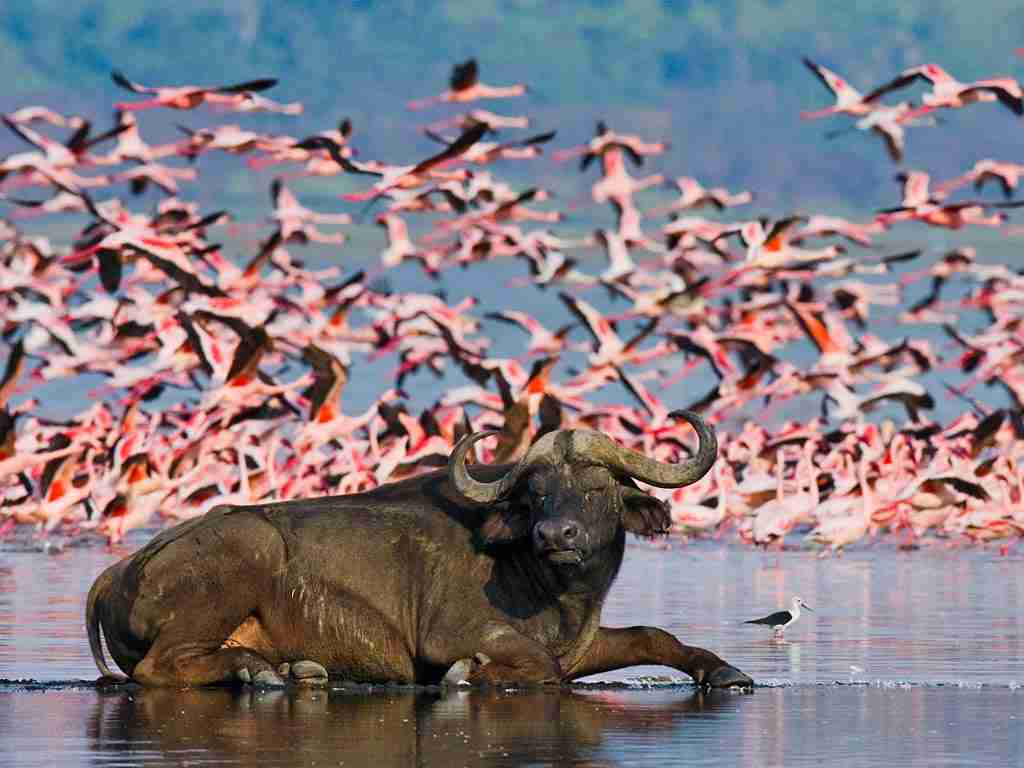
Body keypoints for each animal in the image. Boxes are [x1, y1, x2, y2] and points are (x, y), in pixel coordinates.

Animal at [86, 409, 752, 688]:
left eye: (597, 488)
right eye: (536, 493)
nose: (555, 536)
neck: (555, 591)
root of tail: (117, 572)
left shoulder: (583, 644)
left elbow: (652, 637)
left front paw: (725, 670)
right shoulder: (450, 634)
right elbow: (536, 665)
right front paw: (470, 675)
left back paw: (288, 671)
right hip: (242, 556)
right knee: (158, 668)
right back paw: (262, 674)